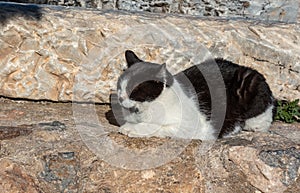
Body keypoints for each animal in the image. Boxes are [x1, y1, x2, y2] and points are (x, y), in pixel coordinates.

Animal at [112, 50, 274, 140]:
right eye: (119, 85)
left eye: (134, 89)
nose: (120, 97)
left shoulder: (191, 126)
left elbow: (156, 127)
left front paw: (131, 129)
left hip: (251, 82)